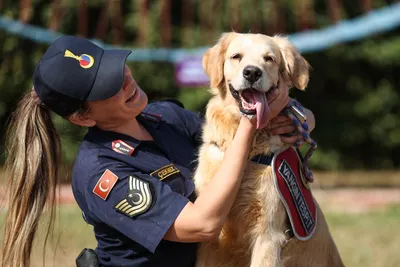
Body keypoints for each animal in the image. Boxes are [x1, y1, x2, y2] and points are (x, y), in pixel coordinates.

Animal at [194, 33, 344, 267]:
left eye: (269, 59)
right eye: (236, 56)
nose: (252, 72)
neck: (248, 152)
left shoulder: (269, 233)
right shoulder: (210, 238)